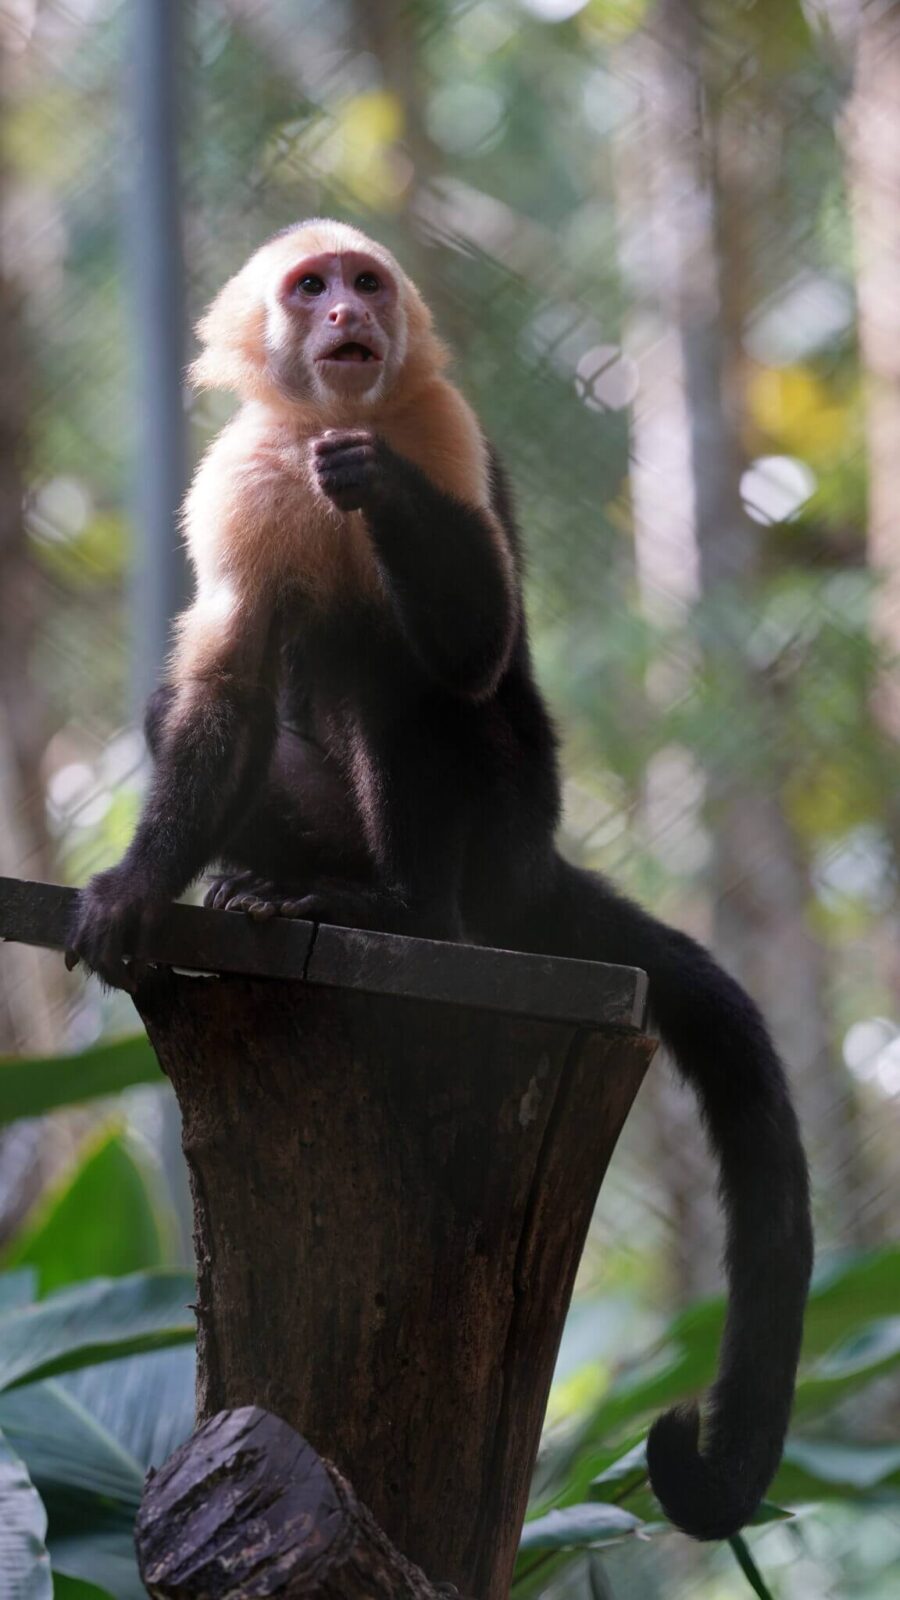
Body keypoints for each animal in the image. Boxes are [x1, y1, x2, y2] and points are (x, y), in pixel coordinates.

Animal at [67, 218, 812, 1542]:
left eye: (365, 281)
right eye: (309, 286)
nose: (347, 314)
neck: (317, 426)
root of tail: (537, 864)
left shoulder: (442, 421)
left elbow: (468, 648)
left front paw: (372, 481)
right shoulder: (236, 473)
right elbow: (218, 689)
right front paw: (138, 888)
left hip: (511, 820)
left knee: (395, 667)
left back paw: (403, 912)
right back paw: (276, 882)